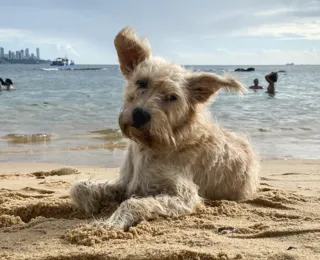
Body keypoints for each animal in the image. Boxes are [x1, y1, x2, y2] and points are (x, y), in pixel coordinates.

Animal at [70, 25, 260, 230]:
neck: (151, 145)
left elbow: (133, 202)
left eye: (172, 97)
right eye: (141, 82)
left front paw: (111, 223)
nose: (140, 115)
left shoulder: (184, 195)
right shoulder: (126, 183)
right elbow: (78, 186)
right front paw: (92, 205)